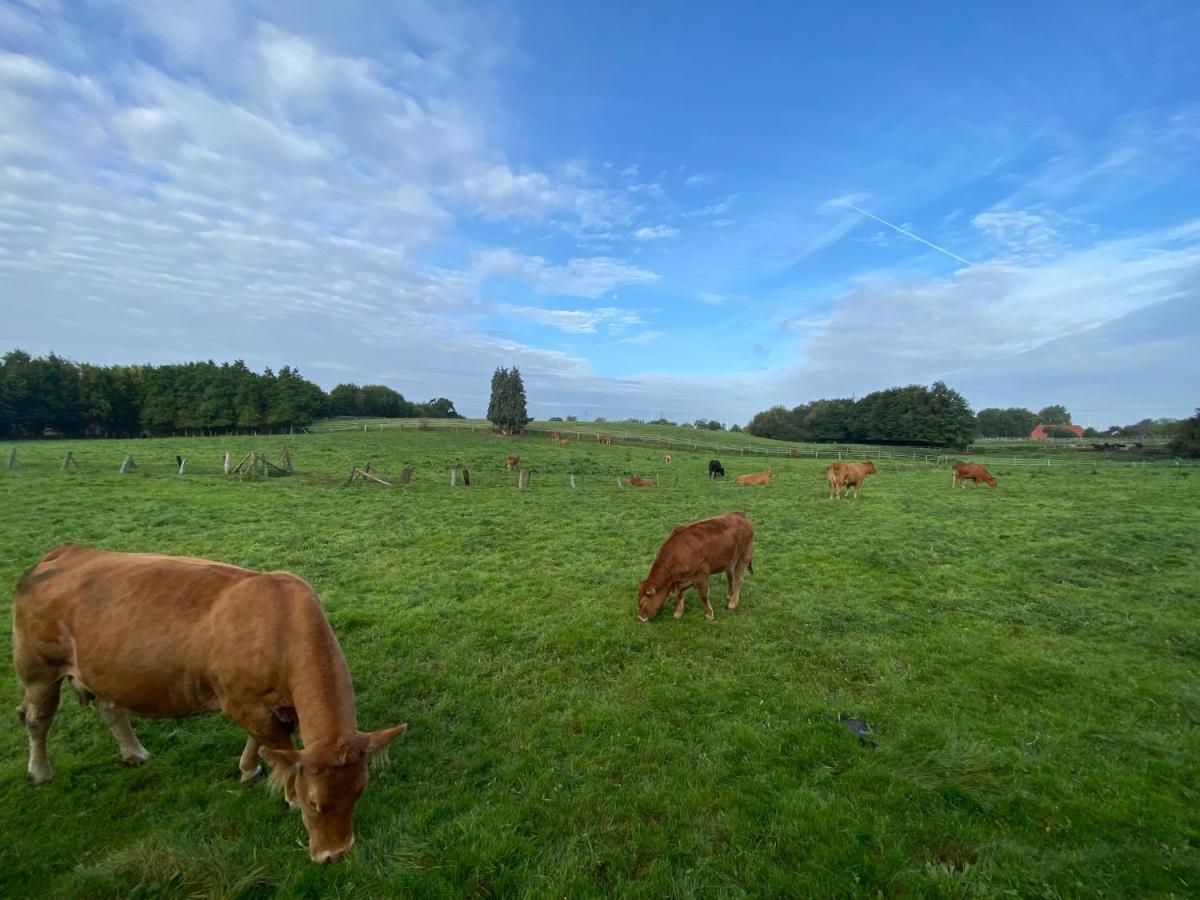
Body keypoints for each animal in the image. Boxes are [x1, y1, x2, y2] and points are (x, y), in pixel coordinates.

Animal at [12, 542, 408, 868]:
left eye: (359, 792)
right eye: (315, 804)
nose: (335, 854)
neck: (281, 628)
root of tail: (65, 552)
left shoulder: (274, 706)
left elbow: (262, 741)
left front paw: (249, 769)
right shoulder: (242, 703)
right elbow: (275, 744)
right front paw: (287, 792)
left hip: (104, 670)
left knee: (110, 708)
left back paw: (133, 752)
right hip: (38, 669)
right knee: (36, 719)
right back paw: (40, 771)